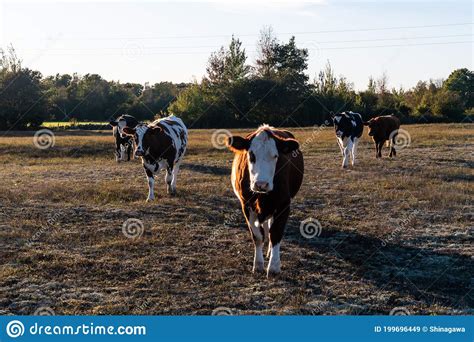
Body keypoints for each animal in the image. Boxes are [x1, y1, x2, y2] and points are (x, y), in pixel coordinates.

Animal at [226, 124, 304, 276]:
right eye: (251, 155)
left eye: (275, 156)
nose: (261, 184)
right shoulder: (246, 205)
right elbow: (257, 235)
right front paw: (258, 264)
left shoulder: (284, 204)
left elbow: (276, 233)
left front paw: (273, 266)